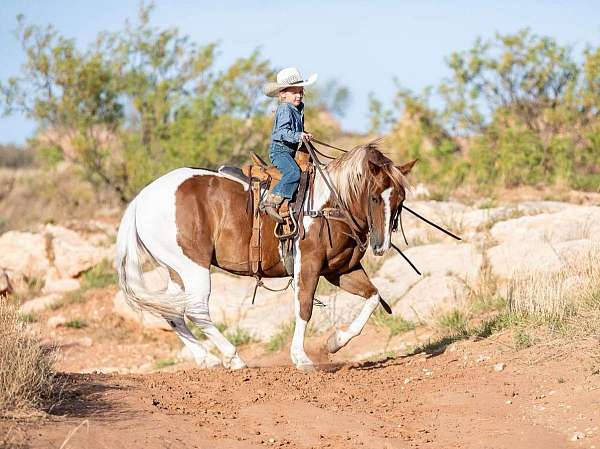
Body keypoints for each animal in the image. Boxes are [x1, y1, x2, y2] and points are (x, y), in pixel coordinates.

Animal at [115, 142, 414, 370]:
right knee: (197, 311)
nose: (380, 246)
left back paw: (207, 359)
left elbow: (373, 296)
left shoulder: (340, 270)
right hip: (193, 267)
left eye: (399, 200)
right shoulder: (309, 265)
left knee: (173, 313)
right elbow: (304, 307)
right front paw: (301, 358)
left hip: (176, 271)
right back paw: (233, 357)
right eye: (374, 197)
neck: (329, 205)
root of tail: (141, 198)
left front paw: (335, 342)